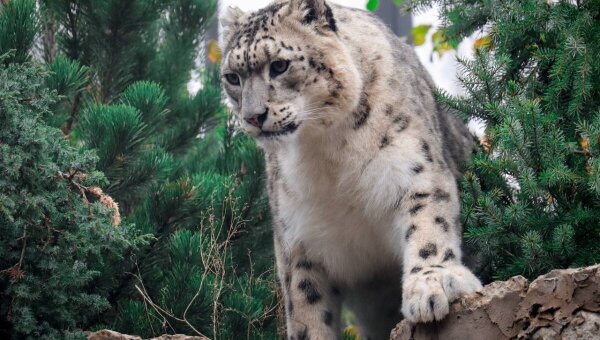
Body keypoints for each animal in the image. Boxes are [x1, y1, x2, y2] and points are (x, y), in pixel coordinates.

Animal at [220, 1, 482, 338]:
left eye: (279, 65)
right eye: (232, 77)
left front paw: (432, 283)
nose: (253, 116)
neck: (327, 154)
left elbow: (429, 224)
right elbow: (305, 303)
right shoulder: (297, 235)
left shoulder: (415, 173)